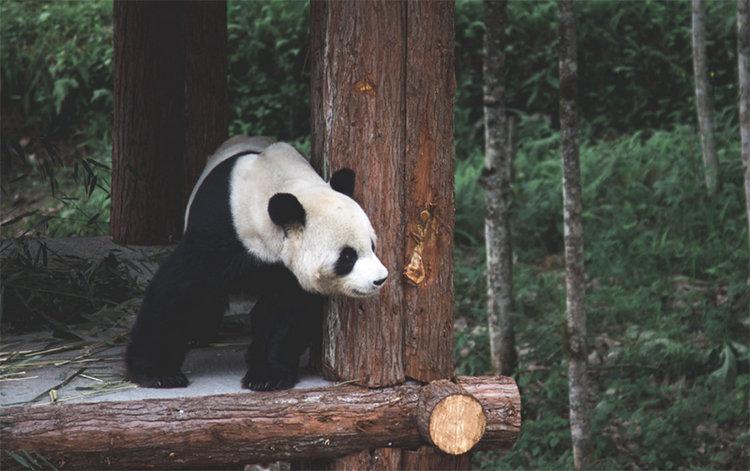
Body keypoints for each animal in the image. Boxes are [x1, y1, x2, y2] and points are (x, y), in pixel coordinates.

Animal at [125, 136, 388, 390]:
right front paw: (159, 373)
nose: (380, 279)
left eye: (372, 246)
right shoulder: (220, 233)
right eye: (348, 256)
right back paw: (197, 335)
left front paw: (268, 376)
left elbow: (286, 313)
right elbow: (176, 291)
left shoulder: (284, 268)